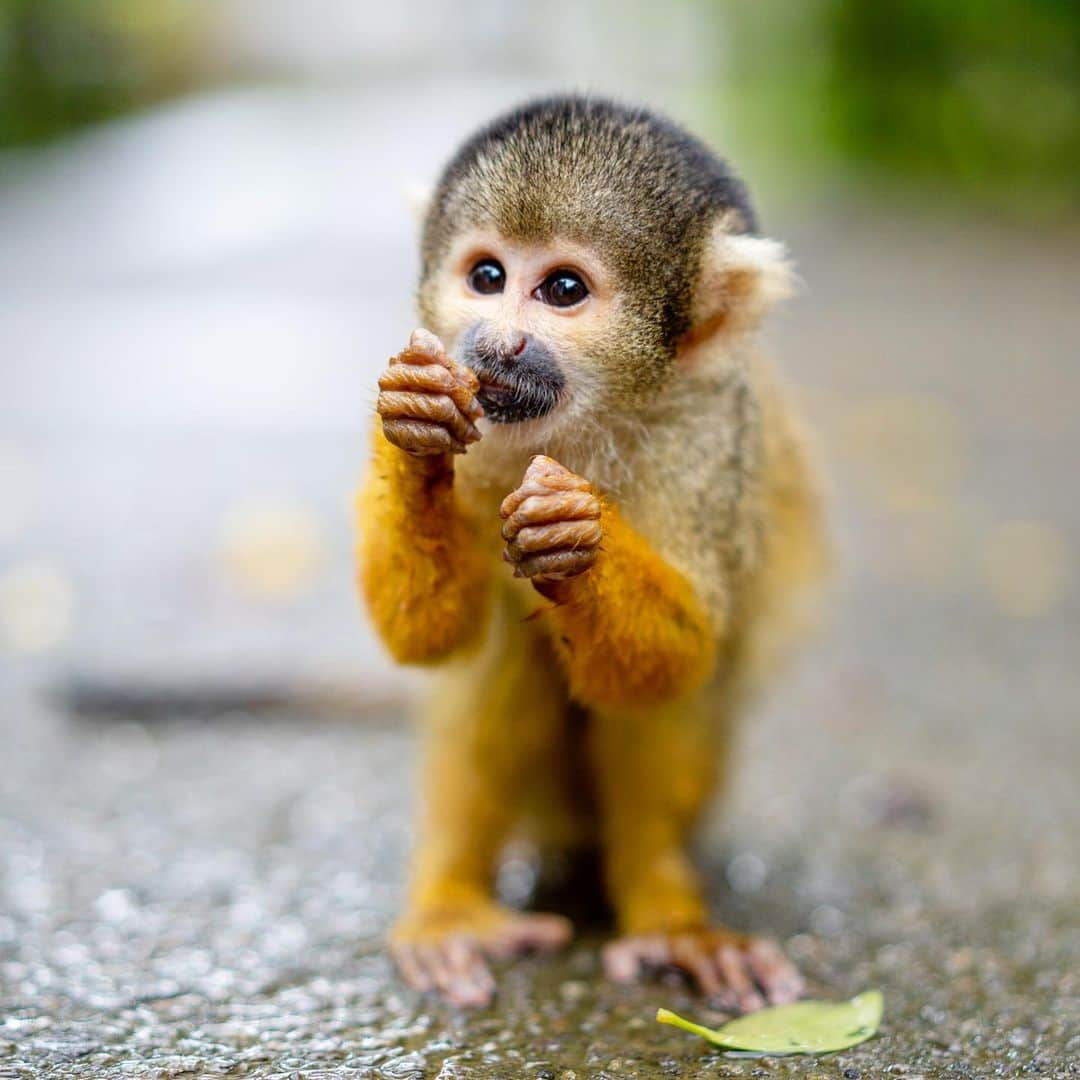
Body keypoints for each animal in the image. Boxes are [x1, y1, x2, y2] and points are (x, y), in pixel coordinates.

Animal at [356, 95, 825, 1010]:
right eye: (488, 277)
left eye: (563, 290)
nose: (498, 344)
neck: (578, 423)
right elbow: (428, 635)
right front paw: (419, 433)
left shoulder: (705, 437)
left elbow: (680, 660)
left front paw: (577, 539)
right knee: (499, 657)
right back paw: (449, 907)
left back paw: (668, 917)